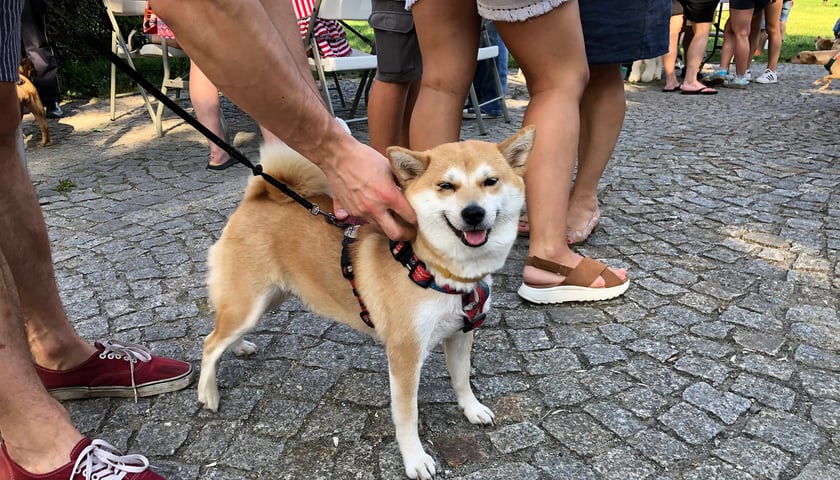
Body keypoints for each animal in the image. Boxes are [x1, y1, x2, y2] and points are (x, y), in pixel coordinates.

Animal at [200, 125, 536, 478]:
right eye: (446, 185)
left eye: (490, 181)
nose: (473, 213)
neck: (434, 269)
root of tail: (260, 194)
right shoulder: (405, 355)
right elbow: (407, 415)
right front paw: (415, 459)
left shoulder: (461, 333)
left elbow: (462, 378)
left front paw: (472, 409)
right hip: (249, 303)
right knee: (211, 342)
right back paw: (208, 393)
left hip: (269, 299)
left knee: (224, 333)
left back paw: (239, 347)